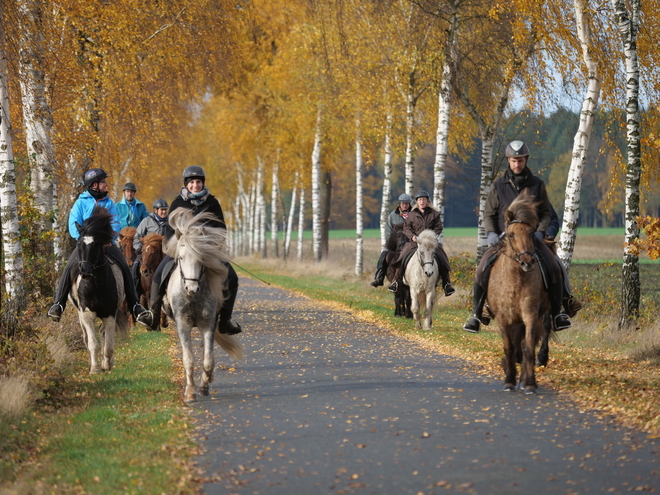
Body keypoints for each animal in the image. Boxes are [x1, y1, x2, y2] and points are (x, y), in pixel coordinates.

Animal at [69, 207, 127, 374]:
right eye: (79, 244)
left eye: (96, 245)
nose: (85, 271)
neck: (96, 285)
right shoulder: (86, 314)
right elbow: (92, 343)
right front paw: (94, 368)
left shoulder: (110, 314)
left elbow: (109, 345)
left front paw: (107, 364)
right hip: (80, 314)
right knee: (86, 338)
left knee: (103, 333)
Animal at [164, 209, 242, 404]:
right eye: (181, 258)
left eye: (202, 258)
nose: (191, 288)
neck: (193, 297)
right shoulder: (183, 325)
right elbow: (188, 359)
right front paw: (190, 393)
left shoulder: (208, 324)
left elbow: (208, 359)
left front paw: (204, 385)